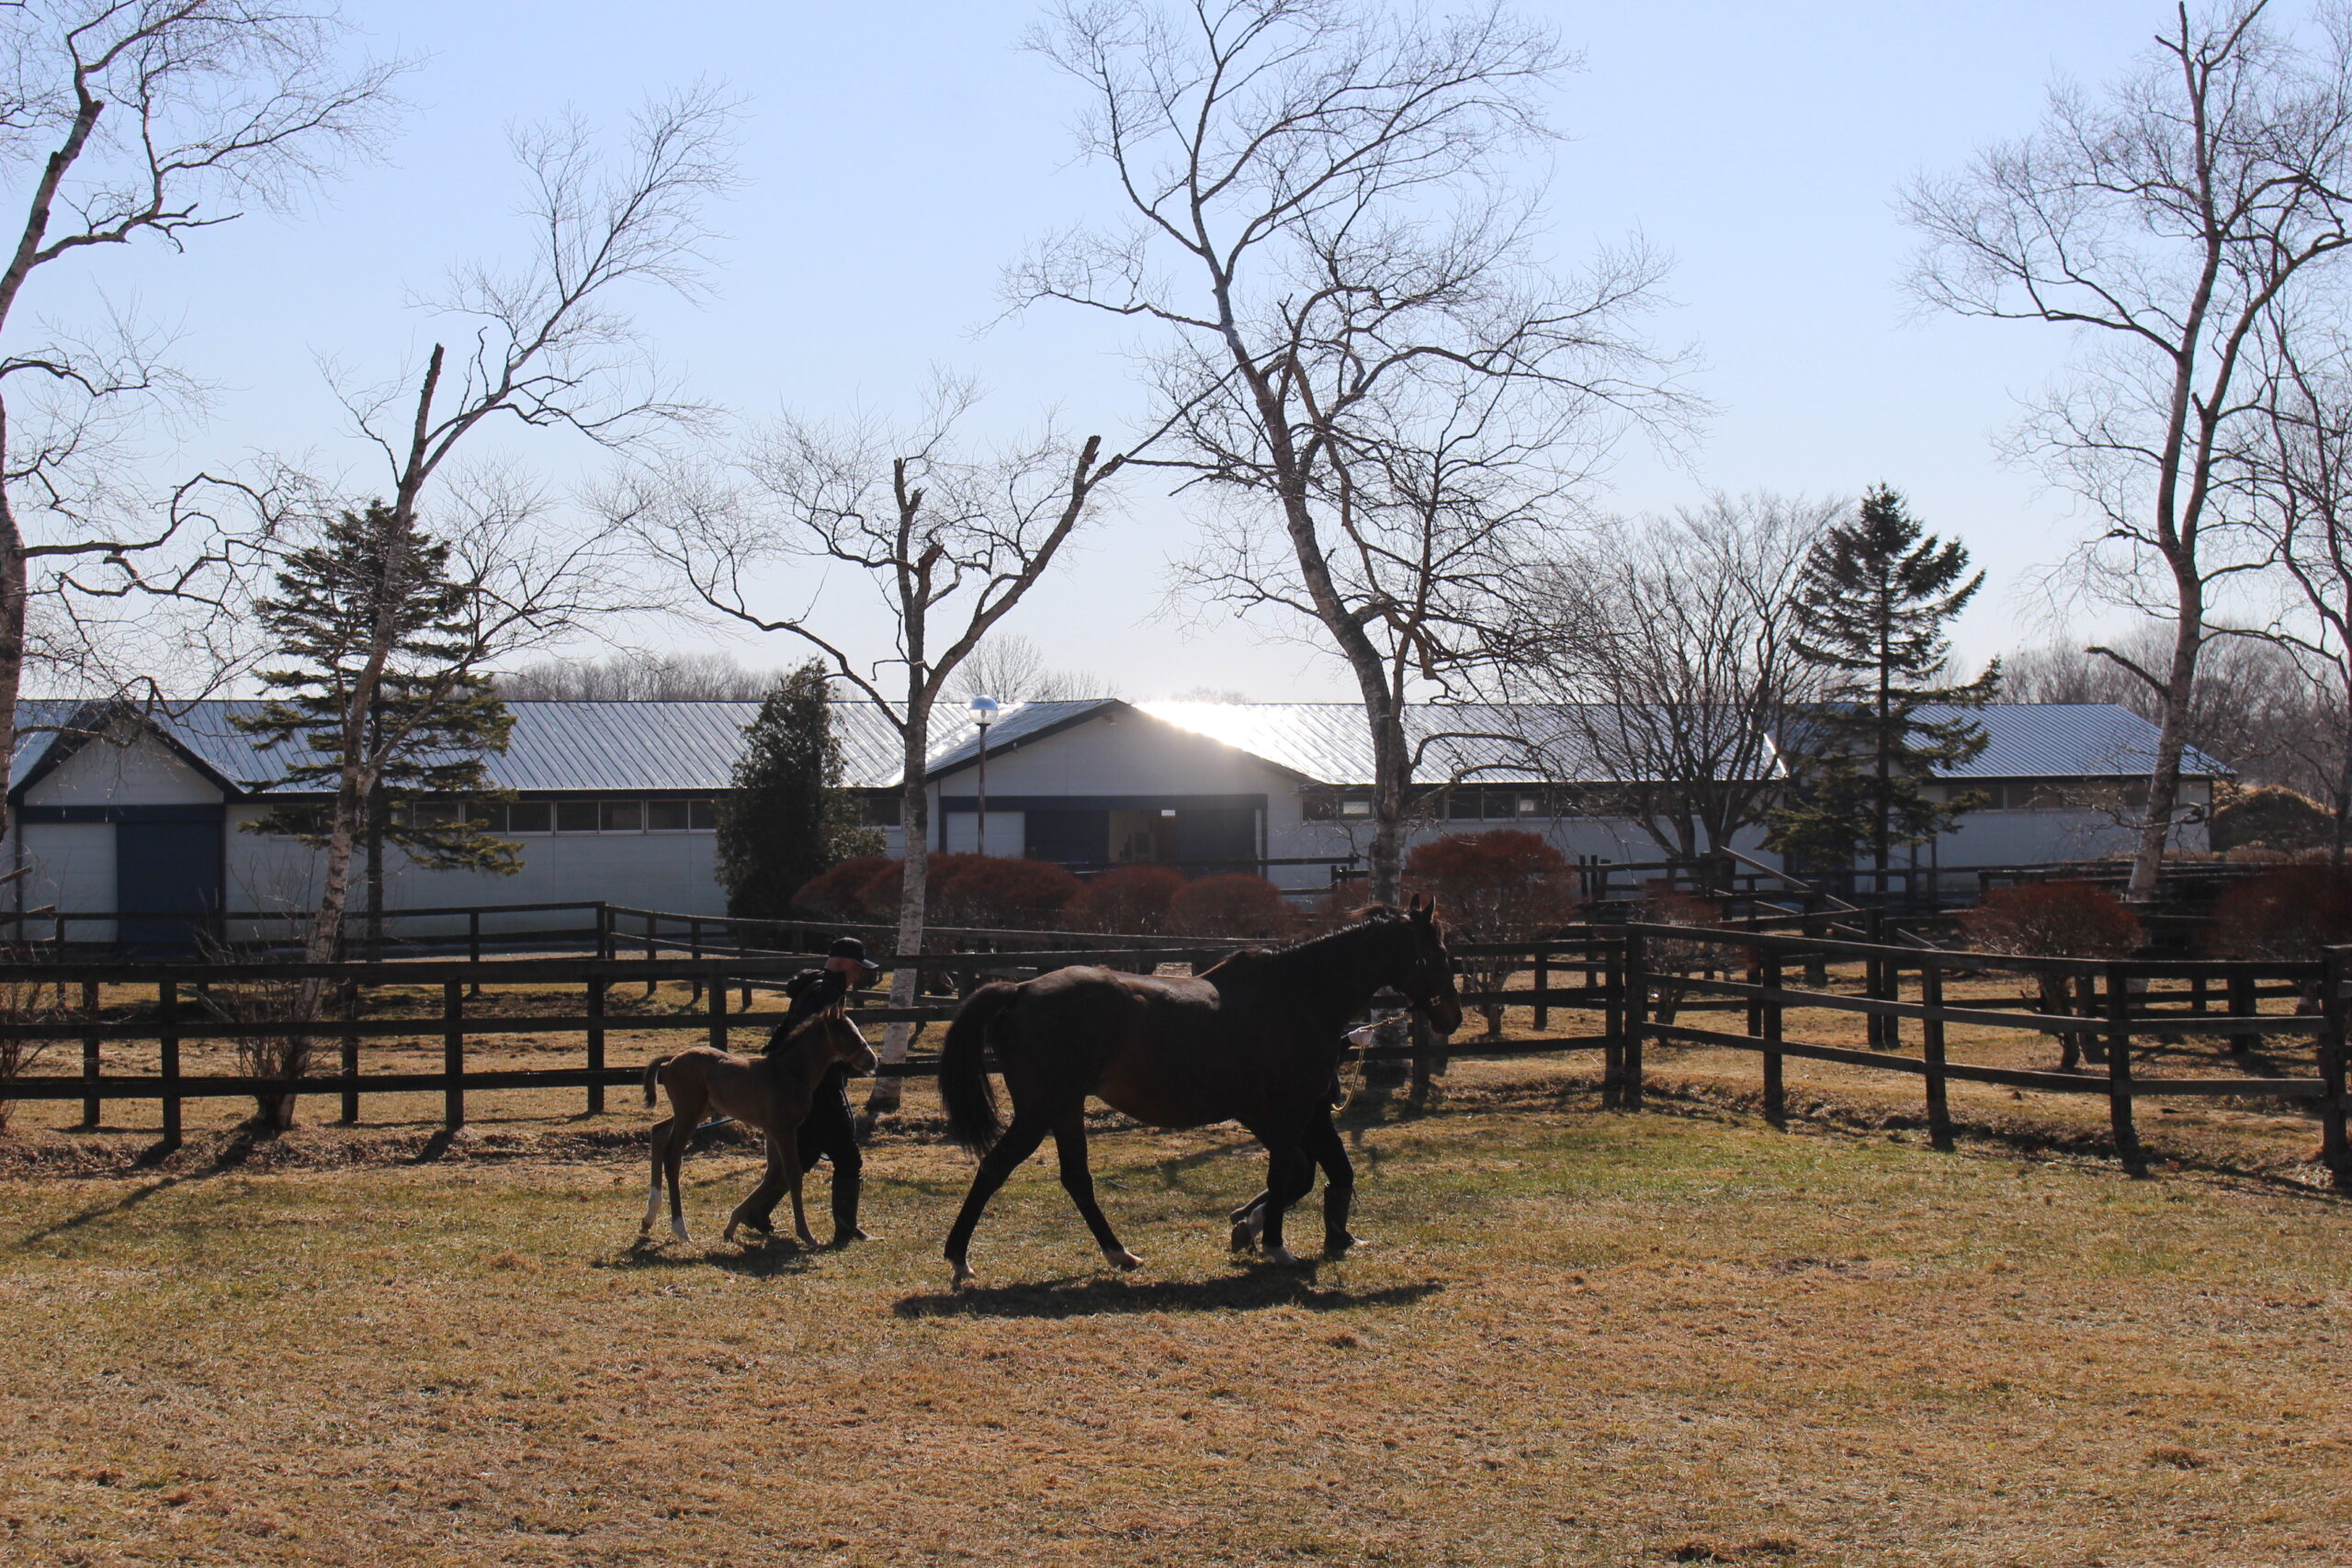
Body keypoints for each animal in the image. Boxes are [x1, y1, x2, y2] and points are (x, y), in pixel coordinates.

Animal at [644, 1020, 884, 1250]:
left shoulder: (771, 1131)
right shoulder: (784, 1130)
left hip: (698, 1112)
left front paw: (733, 1225)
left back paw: (649, 1218)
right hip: (689, 1114)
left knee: (658, 1131)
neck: (790, 1072)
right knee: (672, 1157)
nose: (872, 1061)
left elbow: (773, 1174)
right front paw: (806, 1235)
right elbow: (793, 1174)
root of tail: (674, 1058)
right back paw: (680, 1229)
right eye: (846, 1033)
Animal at [931, 902, 1448, 1297]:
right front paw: (1274, 1245)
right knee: (995, 1168)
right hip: (1040, 1111)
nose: (1454, 1017)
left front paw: (1251, 1228)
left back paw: (1120, 1254)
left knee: (1076, 1179)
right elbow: (1284, 1177)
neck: (1297, 994)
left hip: (1064, 1109)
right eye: (1439, 953)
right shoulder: (1289, 1112)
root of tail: (1019, 988)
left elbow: (1297, 1176)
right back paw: (959, 1259)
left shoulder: (1282, 1116)